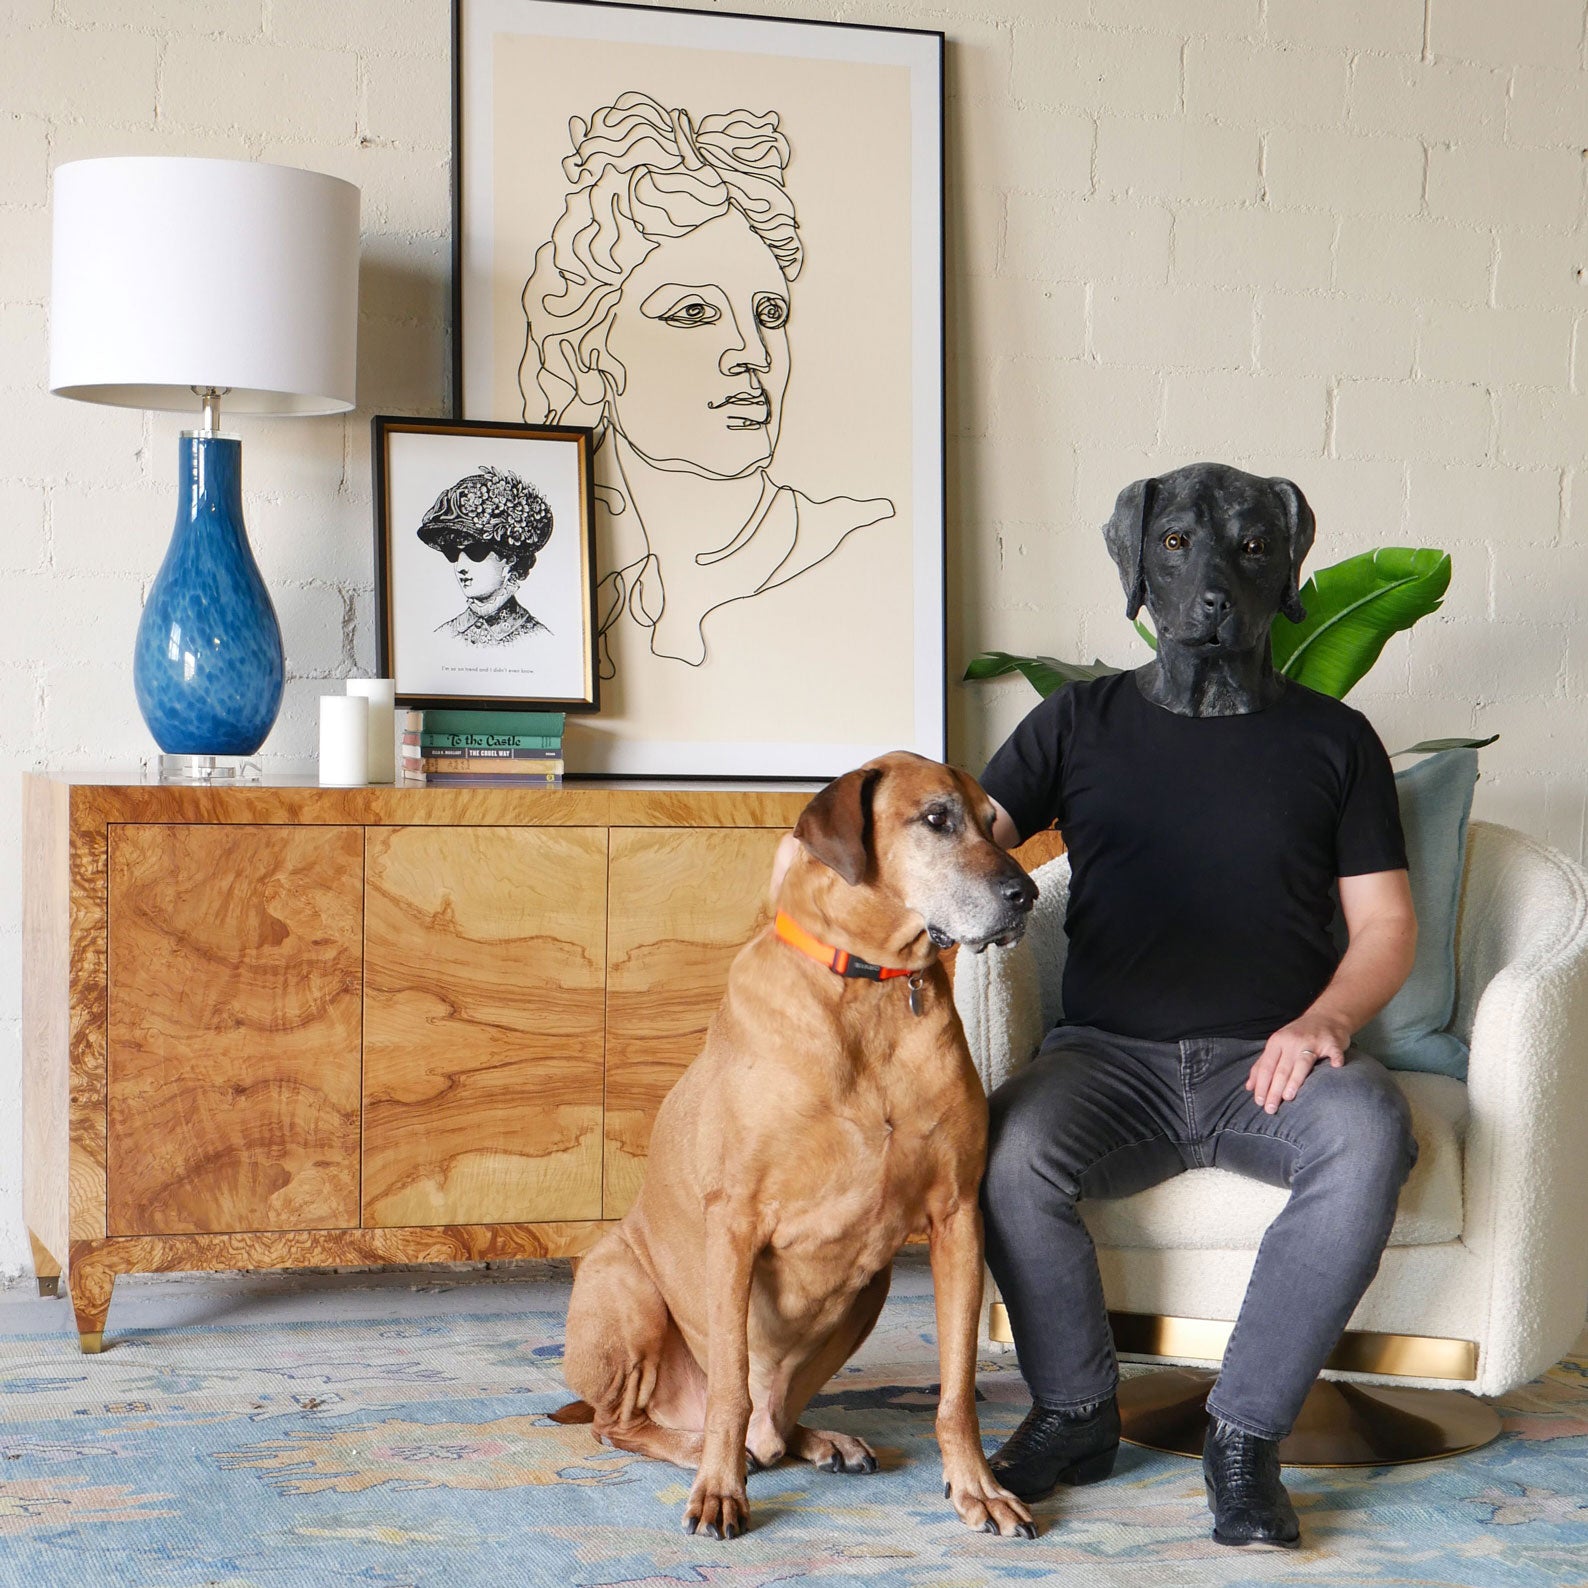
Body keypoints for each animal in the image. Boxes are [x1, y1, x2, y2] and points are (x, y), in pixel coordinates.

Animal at [558, 751, 1039, 1540]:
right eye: (936, 818)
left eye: (993, 823)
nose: (1024, 893)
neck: (873, 988)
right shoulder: (734, 1224)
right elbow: (730, 1390)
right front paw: (718, 1490)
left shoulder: (957, 1217)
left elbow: (957, 1388)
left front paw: (979, 1487)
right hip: (622, 1286)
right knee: (627, 1424)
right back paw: (697, 1450)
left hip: (870, 1288)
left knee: (776, 1425)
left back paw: (818, 1441)